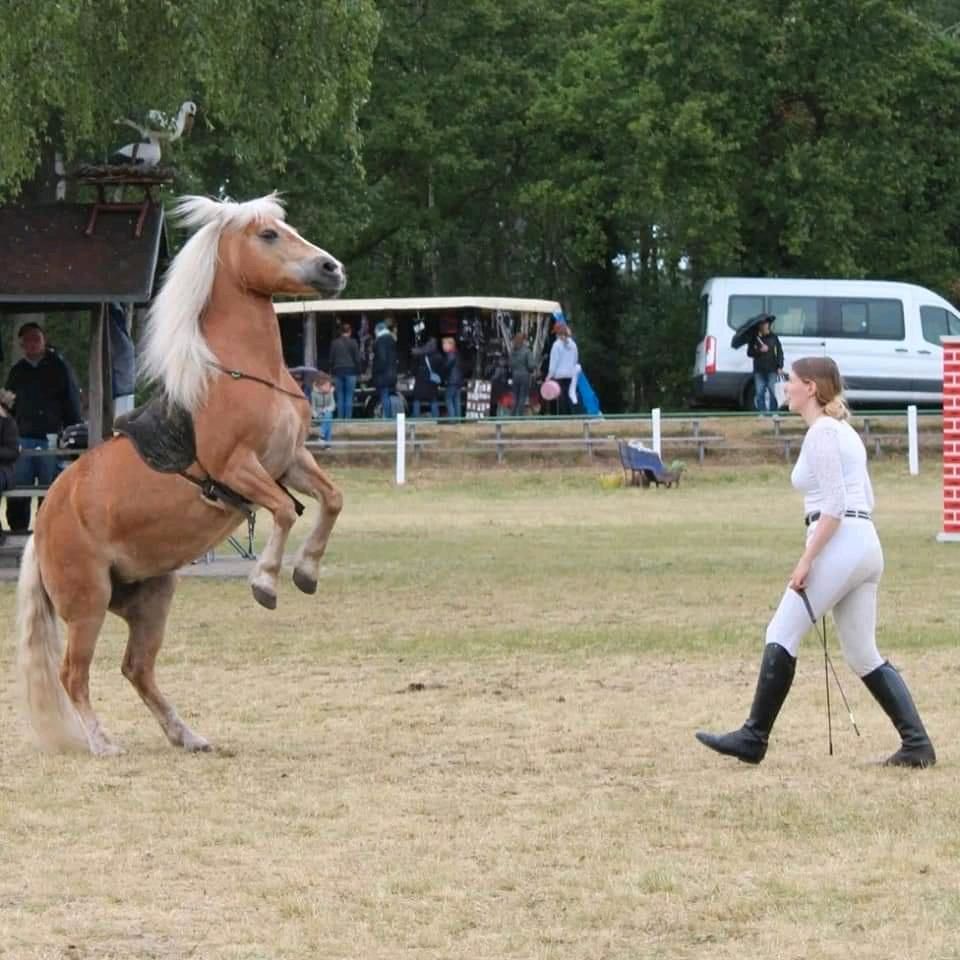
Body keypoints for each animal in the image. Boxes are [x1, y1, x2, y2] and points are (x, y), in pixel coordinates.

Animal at [15, 191, 344, 752]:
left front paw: (306, 572)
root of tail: (44, 524)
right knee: (73, 674)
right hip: (87, 603)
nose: (332, 268)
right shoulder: (239, 468)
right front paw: (266, 582)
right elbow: (283, 511)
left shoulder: (291, 460)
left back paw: (186, 734)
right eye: (268, 235)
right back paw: (102, 743)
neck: (245, 373)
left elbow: (331, 500)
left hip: (152, 597)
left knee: (137, 669)